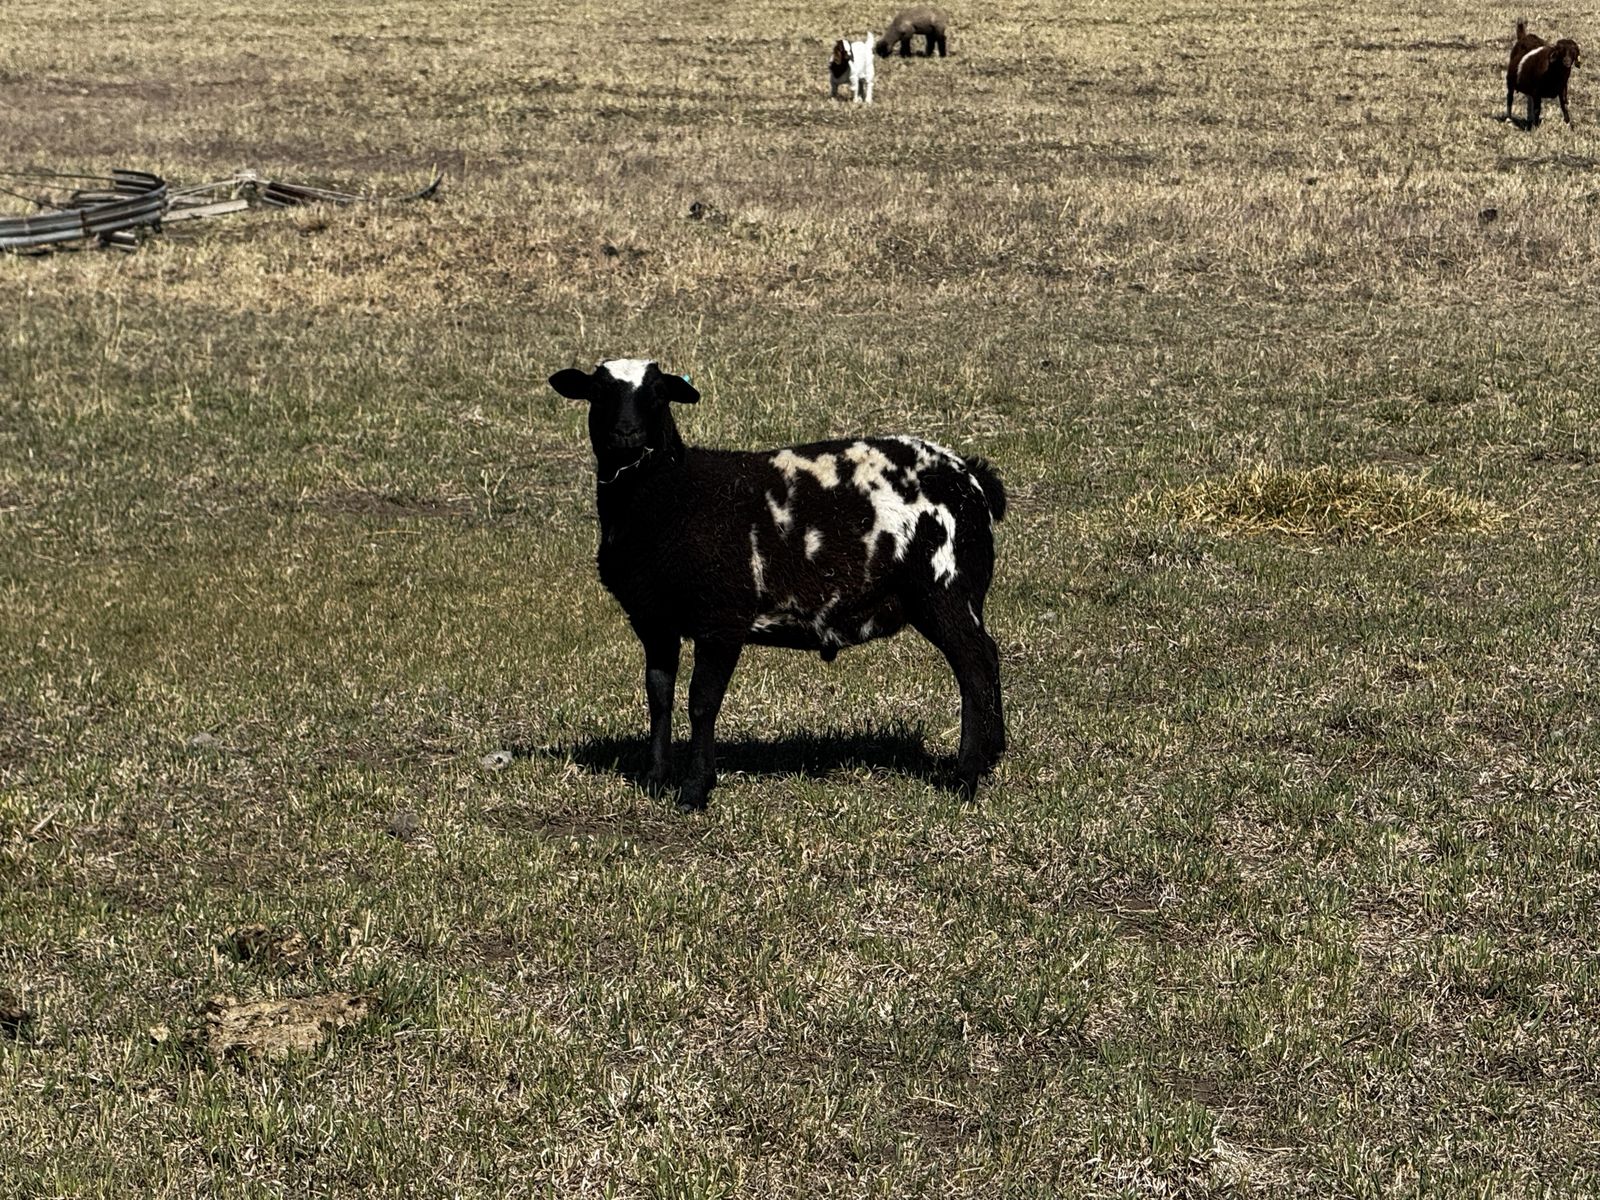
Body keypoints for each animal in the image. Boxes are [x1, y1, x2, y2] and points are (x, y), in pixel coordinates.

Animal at [547, 358, 1007, 809]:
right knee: (988, 655)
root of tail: (969, 477)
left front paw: (695, 790)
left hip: (945, 587)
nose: (628, 434)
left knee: (974, 668)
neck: (670, 494)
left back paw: (965, 778)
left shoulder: (722, 618)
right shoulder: (653, 619)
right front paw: (655, 778)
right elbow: (659, 696)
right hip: (957, 594)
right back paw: (992, 756)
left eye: (659, 393)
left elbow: (702, 703)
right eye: (598, 391)